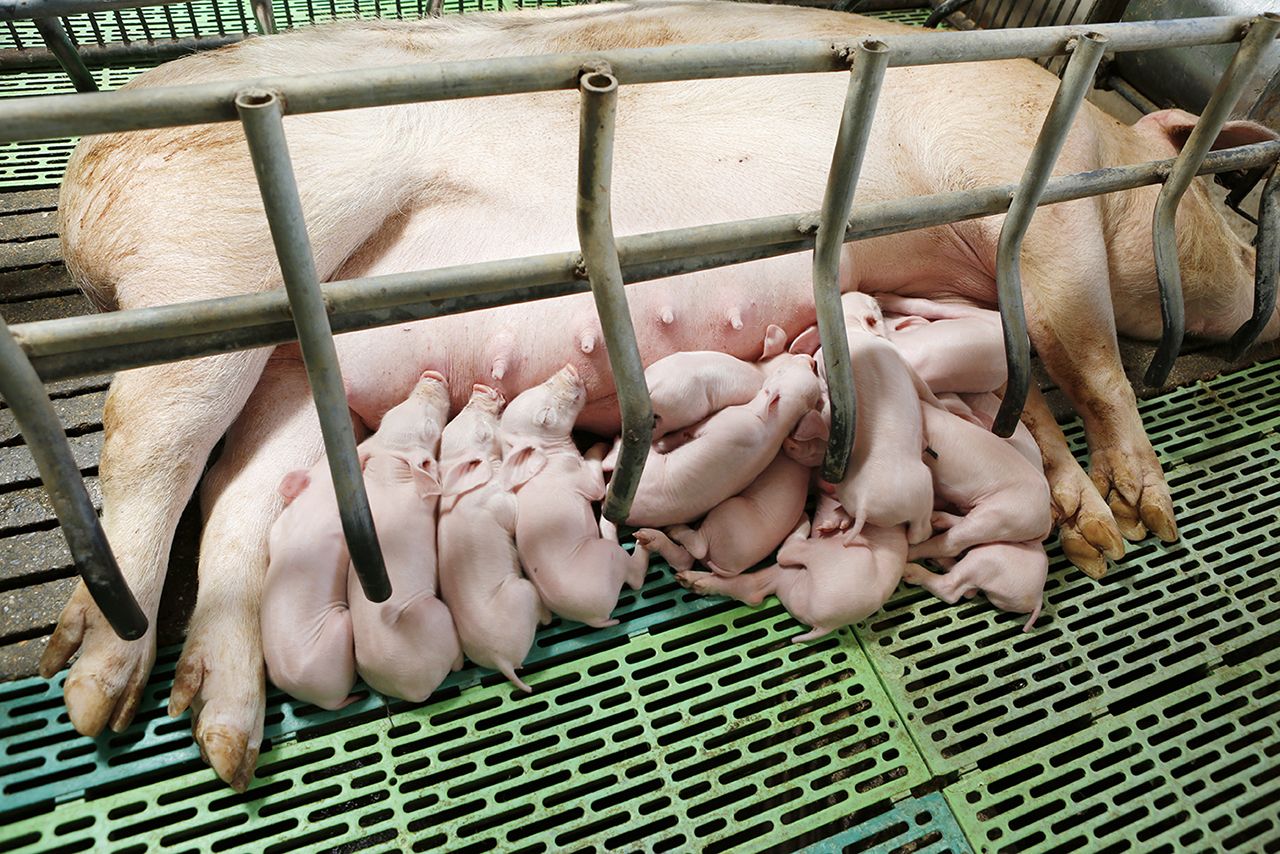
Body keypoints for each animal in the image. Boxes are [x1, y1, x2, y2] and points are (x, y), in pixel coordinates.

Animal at [437, 384, 544, 693]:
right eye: (483, 433)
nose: (479, 387)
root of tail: (501, 660)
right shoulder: (498, 505)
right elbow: (511, 512)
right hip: (523, 591)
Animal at [501, 365, 652, 627]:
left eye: (540, 385)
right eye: (545, 417)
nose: (570, 369)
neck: (549, 456)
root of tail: (593, 619)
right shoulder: (576, 476)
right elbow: (594, 478)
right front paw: (601, 445)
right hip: (608, 559)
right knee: (634, 577)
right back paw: (641, 540)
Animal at [680, 508, 908, 642]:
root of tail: (827, 625)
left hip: (830, 555)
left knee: (786, 553)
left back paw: (803, 520)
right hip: (791, 585)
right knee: (753, 589)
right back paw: (689, 581)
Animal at [903, 540, 1048, 631]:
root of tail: (1038, 597)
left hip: (983, 559)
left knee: (951, 590)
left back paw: (909, 570)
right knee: (967, 589)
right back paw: (937, 561)